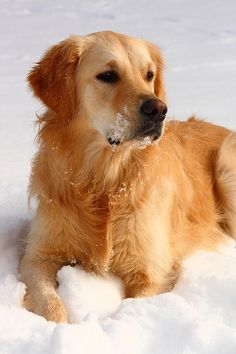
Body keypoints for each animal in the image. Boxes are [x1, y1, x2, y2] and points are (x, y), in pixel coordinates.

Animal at [19, 31, 236, 322]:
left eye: (149, 75)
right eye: (108, 75)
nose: (159, 109)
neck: (104, 181)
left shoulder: (151, 271)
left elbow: (131, 308)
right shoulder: (37, 257)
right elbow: (50, 303)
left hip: (225, 163)